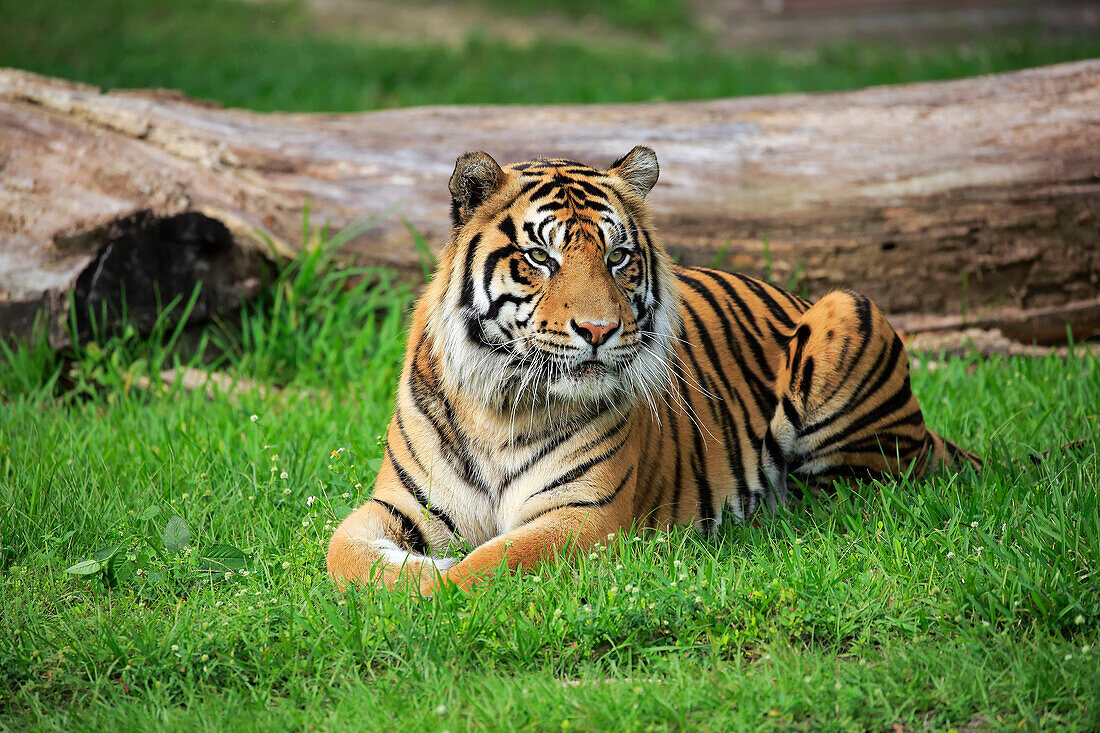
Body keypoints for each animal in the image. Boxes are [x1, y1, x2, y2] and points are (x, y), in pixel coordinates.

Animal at [323, 145, 981, 589]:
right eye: (541, 257)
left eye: (618, 258)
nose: (598, 331)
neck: (501, 407)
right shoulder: (398, 504)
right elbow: (344, 552)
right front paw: (414, 573)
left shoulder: (583, 515)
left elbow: (487, 565)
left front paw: (438, 582)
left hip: (846, 311)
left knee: (850, 495)